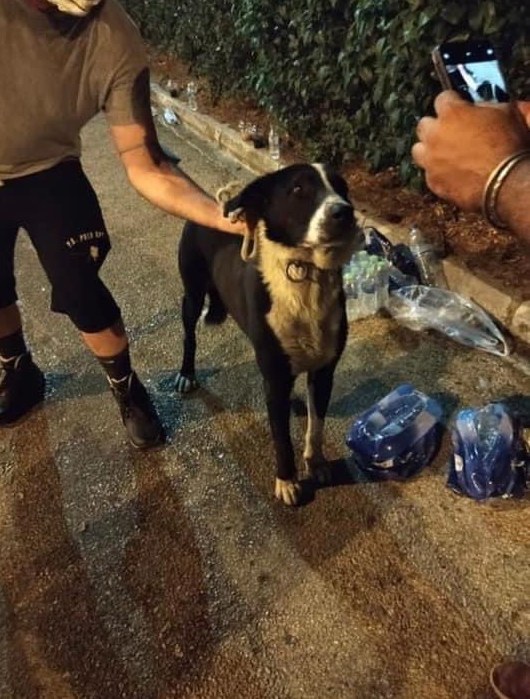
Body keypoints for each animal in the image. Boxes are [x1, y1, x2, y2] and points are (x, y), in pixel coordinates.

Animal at [175, 163, 362, 505]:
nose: (345, 212)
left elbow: (316, 425)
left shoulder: (324, 371)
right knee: (189, 335)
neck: (304, 274)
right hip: (192, 294)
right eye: (299, 189)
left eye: (342, 187)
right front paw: (287, 481)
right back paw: (186, 374)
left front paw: (316, 463)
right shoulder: (274, 379)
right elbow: (281, 437)